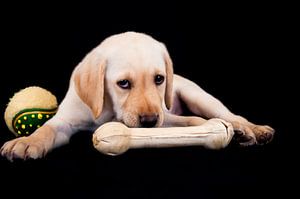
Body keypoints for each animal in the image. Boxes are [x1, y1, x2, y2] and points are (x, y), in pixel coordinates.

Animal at [0, 32, 274, 160]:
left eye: (159, 79)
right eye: (123, 83)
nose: (149, 122)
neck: (109, 110)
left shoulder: (164, 116)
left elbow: (193, 121)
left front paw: (214, 129)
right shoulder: (65, 121)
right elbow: (46, 128)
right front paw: (27, 142)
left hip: (198, 96)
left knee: (229, 114)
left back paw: (250, 129)